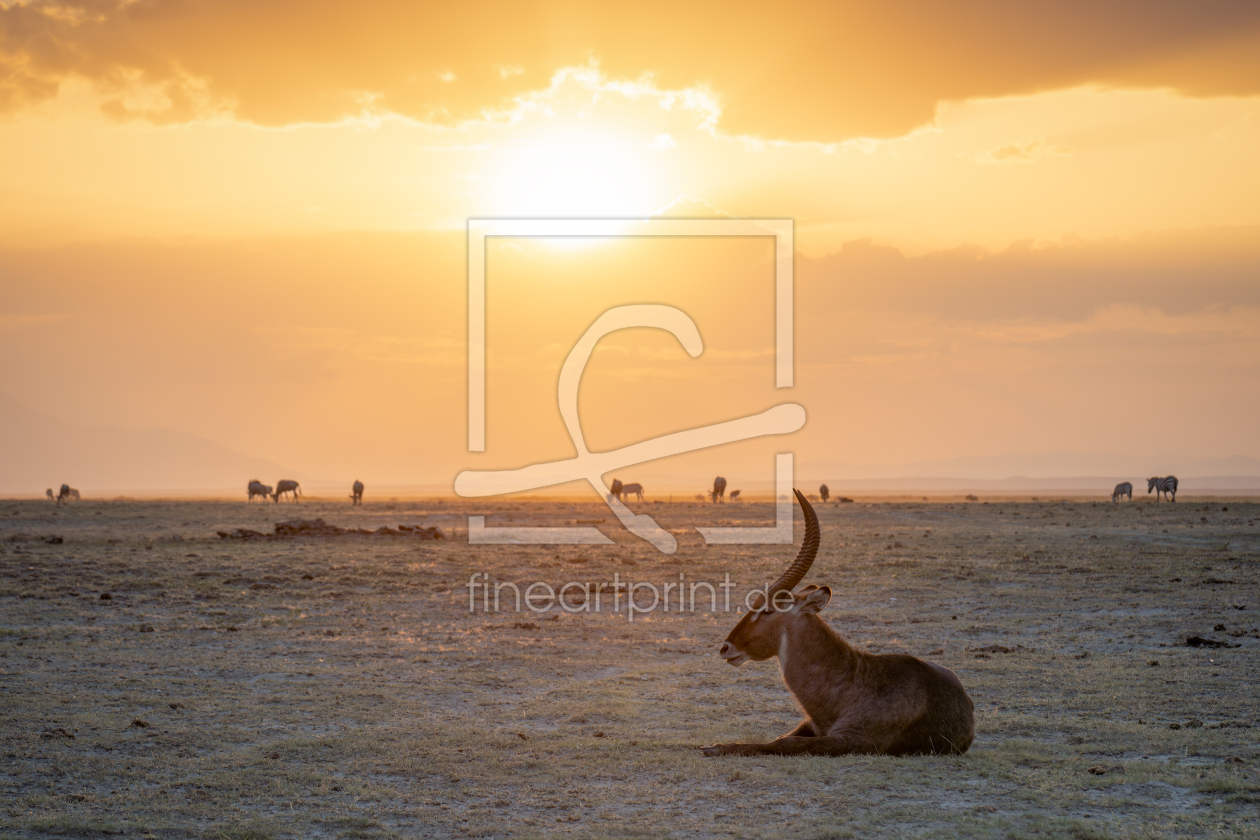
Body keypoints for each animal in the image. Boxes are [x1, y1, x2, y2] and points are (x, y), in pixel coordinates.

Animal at [703, 490, 975, 758]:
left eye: (767, 610)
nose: (726, 647)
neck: (854, 680)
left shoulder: (851, 741)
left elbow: (784, 744)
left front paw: (716, 748)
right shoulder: (810, 724)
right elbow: (779, 738)